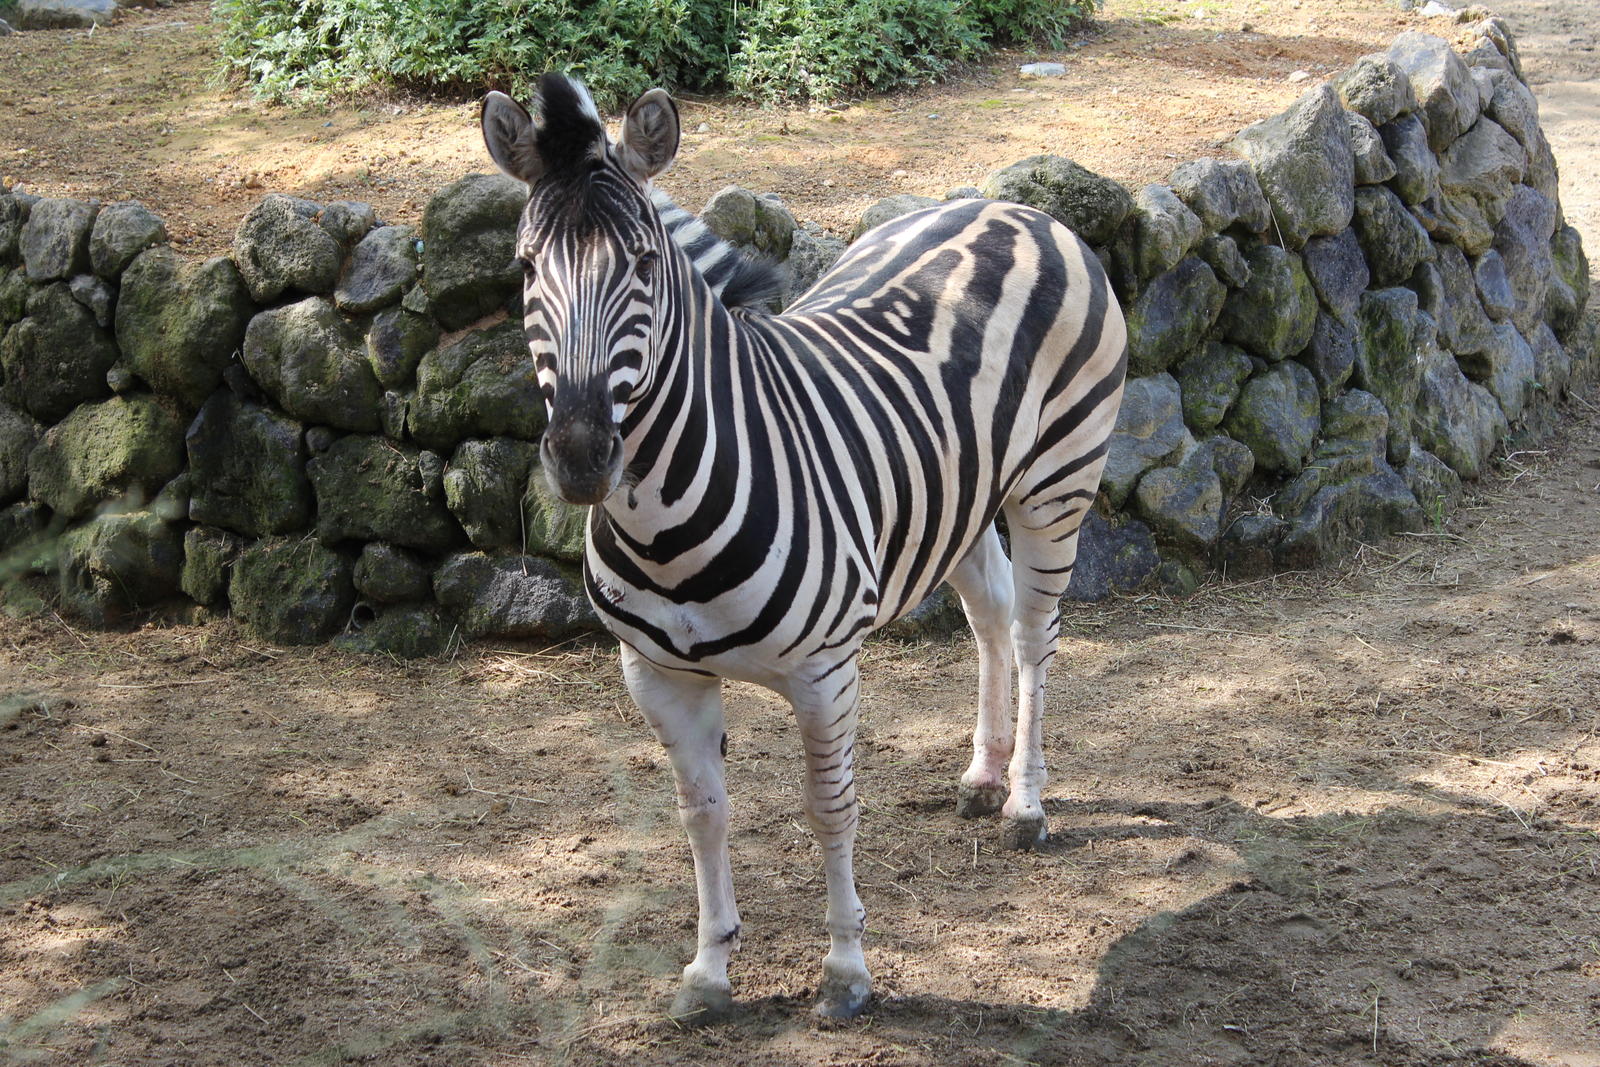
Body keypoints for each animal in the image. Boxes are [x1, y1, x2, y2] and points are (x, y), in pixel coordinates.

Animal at [480, 70, 1132, 1023]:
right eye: (527, 269)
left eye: (644, 264)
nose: (580, 454)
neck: (667, 523)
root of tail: (1012, 207)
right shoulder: (656, 674)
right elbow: (702, 812)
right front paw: (709, 969)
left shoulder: (825, 671)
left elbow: (831, 808)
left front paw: (846, 970)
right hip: (959, 496)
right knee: (990, 616)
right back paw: (981, 775)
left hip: (1058, 480)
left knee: (1034, 635)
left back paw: (1024, 802)